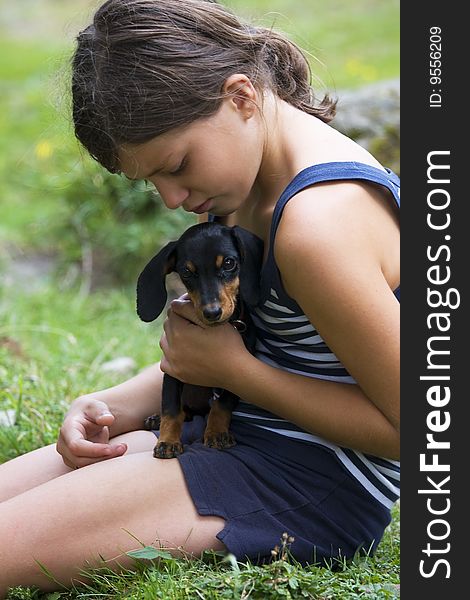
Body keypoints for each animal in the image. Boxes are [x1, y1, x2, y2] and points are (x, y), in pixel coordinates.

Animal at [135, 221, 264, 460]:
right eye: (187, 272)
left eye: (229, 263)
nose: (212, 313)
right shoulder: (172, 368)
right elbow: (171, 409)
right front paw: (168, 441)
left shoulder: (237, 375)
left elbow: (222, 404)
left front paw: (217, 432)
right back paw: (156, 418)